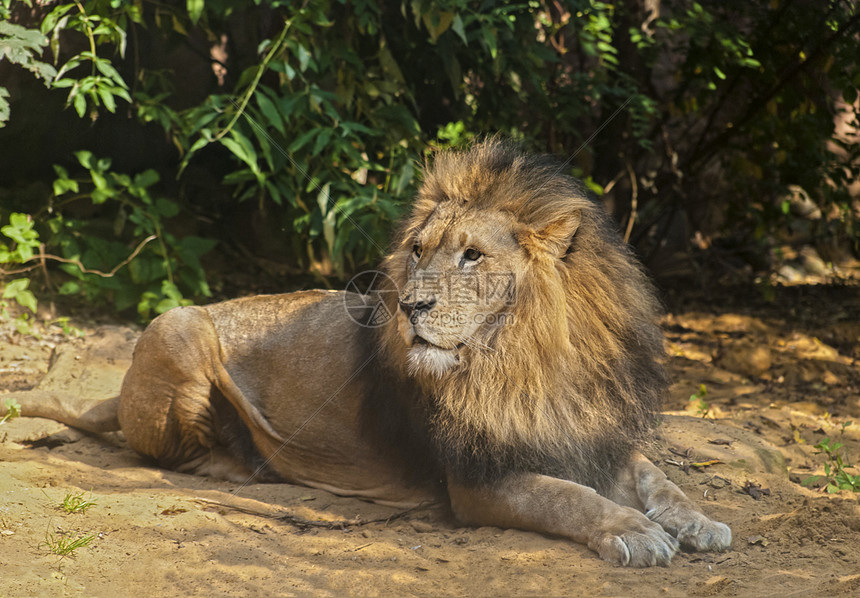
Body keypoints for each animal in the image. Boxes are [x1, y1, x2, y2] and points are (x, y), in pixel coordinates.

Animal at [6, 139, 732, 568]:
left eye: (473, 255)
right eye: (417, 250)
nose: (410, 306)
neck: (525, 358)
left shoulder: (592, 433)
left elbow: (660, 479)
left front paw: (699, 523)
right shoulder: (477, 479)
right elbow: (567, 498)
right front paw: (633, 531)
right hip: (177, 324)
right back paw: (239, 460)